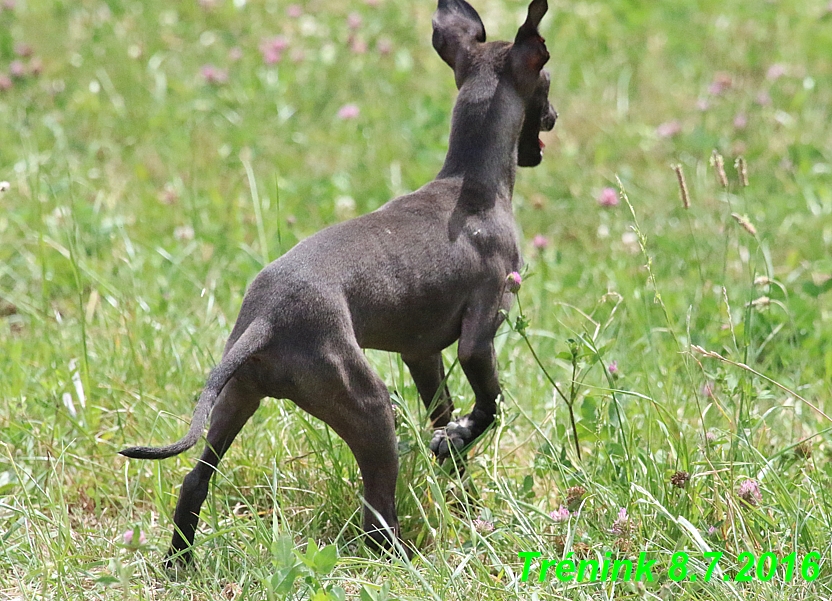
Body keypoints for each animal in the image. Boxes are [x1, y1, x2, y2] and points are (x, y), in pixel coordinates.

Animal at [120, 0, 556, 564]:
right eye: (547, 80)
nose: (553, 118)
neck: (470, 185)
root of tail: (267, 321)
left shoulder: (421, 354)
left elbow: (445, 421)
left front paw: (462, 489)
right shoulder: (479, 333)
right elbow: (488, 408)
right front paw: (460, 440)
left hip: (237, 397)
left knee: (195, 480)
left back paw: (179, 564)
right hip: (369, 409)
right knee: (377, 516)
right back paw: (403, 560)